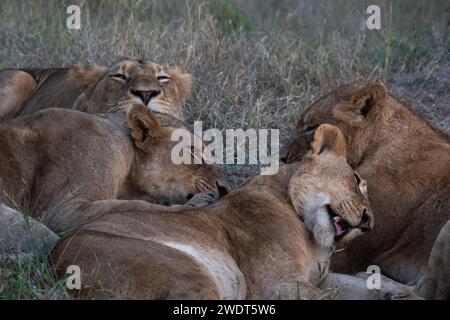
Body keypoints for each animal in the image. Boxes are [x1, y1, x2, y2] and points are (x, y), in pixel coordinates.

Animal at [48, 125, 390, 300]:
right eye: (356, 180)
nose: (369, 223)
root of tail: (56, 260)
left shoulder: (320, 278)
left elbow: (361, 286)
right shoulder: (277, 285)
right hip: (185, 274)